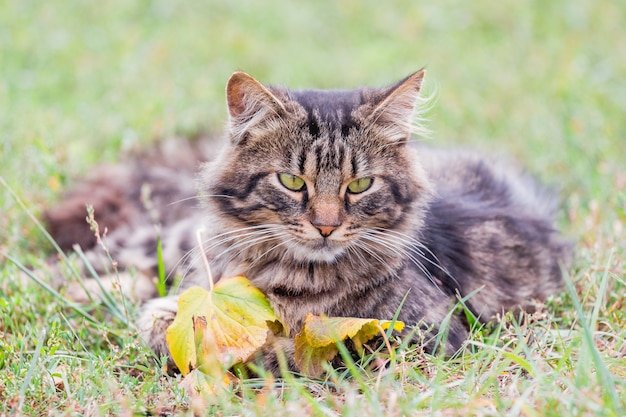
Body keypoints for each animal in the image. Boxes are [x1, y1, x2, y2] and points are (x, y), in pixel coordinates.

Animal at [44, 68, 572, 374]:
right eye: (291, 181)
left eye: (359, 186)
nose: (326, 226)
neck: (286, 276)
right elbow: (173, 318)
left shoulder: (421, 334)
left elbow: (281, 351)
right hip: (178, 239)